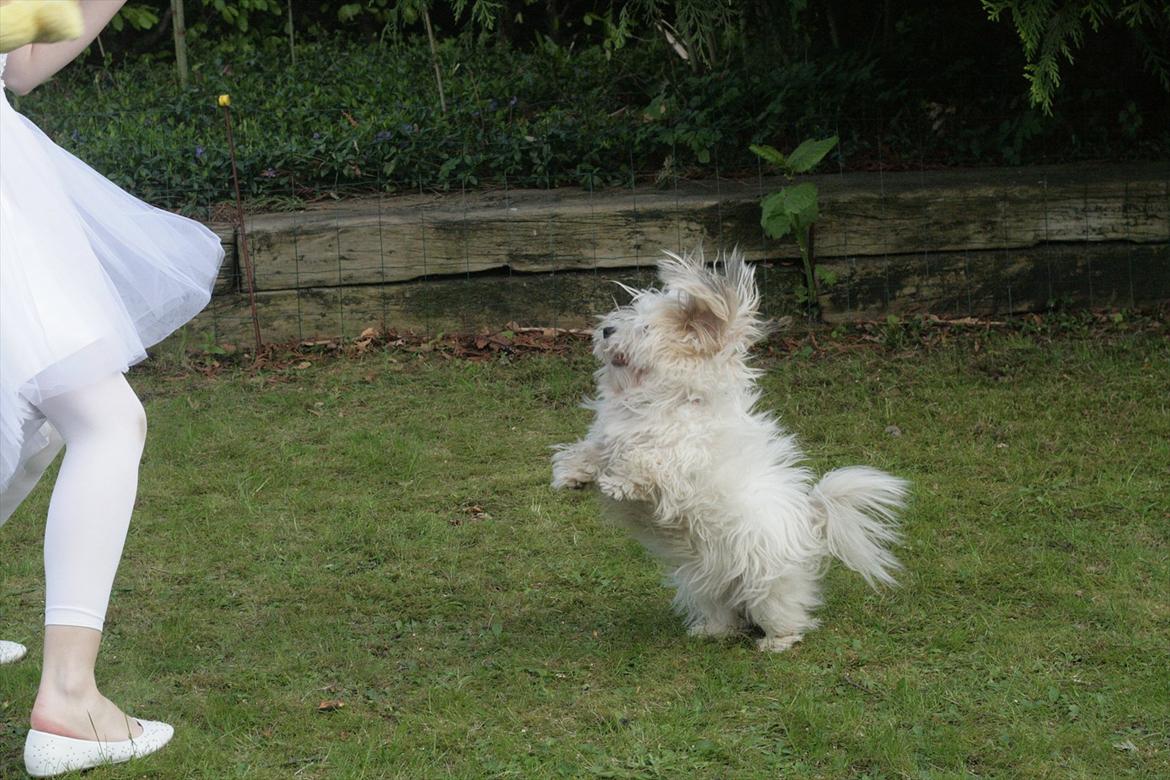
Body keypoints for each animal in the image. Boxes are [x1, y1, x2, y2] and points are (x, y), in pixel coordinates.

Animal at [552, 251, 907, 654]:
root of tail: (809, 522)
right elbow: (593, 451)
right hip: (705, 584)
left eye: (644, 329)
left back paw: (776, 643)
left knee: (787, 615)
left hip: (766, 583)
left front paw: (620, 482)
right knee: (726, 614)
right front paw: (571, 474)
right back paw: (711, 630)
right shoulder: (609, 438)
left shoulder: (682, 463)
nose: (607, 331)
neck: (660, 400)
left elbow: (651, 462)